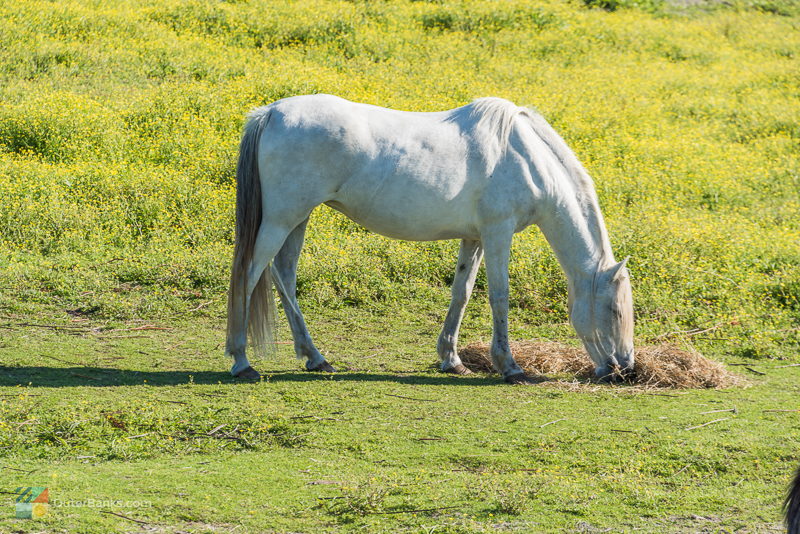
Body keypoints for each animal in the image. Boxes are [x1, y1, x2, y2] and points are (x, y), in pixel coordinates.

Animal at [223, 94, 632, 384]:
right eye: (614, 310)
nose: (624, 368)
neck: (526, 157)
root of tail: (270, 113)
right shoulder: (498, 233)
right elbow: (499, 296)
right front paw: (510, 366)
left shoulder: (474, 238)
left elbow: (461, 293)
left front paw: (451, 359)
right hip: (282, 219)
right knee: (250, 274)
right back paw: (242, 361)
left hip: (298, 220)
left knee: (284, 275)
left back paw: (315, 357)